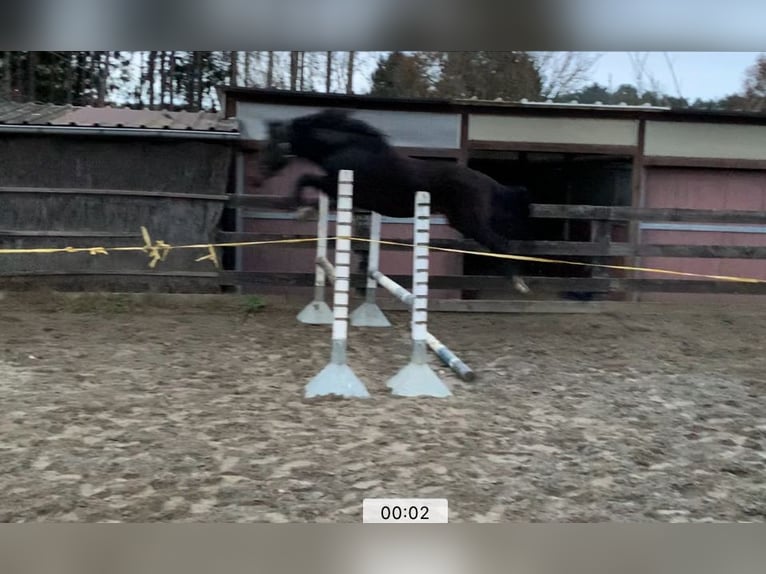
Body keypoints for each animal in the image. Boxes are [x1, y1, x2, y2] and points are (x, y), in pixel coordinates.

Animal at [258, 109, 536, 296]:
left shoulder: (336, 182)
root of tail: (489, 182)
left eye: (273, 144)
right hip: (459, 221)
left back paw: (519, 284)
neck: (347, 147)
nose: (259, 176)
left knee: (500, 243)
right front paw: (306, 211)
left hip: (471, 221)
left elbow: (305, 179)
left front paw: (300, 210)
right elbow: (315, 191)